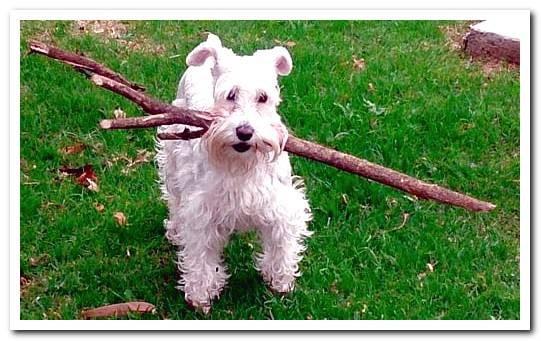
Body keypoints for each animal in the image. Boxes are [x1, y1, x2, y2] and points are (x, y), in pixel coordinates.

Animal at [155, 33, 312, 312]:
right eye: (230, 95)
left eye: (263, 97)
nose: (245, 132)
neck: (241, 164)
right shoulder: (202, 215)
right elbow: (201, 256)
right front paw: (200, 295)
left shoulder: (281, 207)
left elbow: (282, 244)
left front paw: (280, 281)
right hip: (171, 163)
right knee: (174, 201)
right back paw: (174, 230)